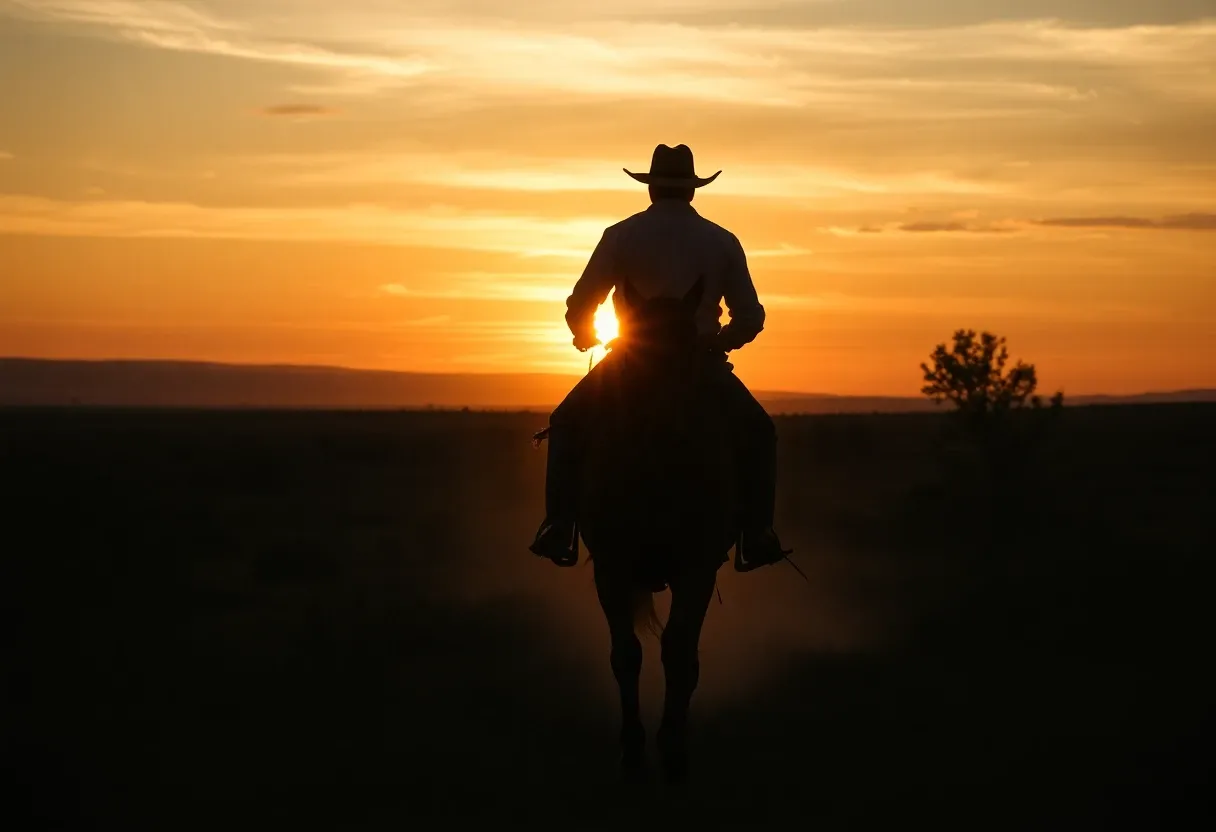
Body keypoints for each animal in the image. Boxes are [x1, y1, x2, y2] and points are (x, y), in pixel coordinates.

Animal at [564, 276, 734, 783]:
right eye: (638, 353)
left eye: (689, 348)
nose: (666, 423)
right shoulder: (611, 569)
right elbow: (626, 655)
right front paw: (633, 749)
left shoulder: (697, 570)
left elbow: (679, 654)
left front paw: (673, 748)